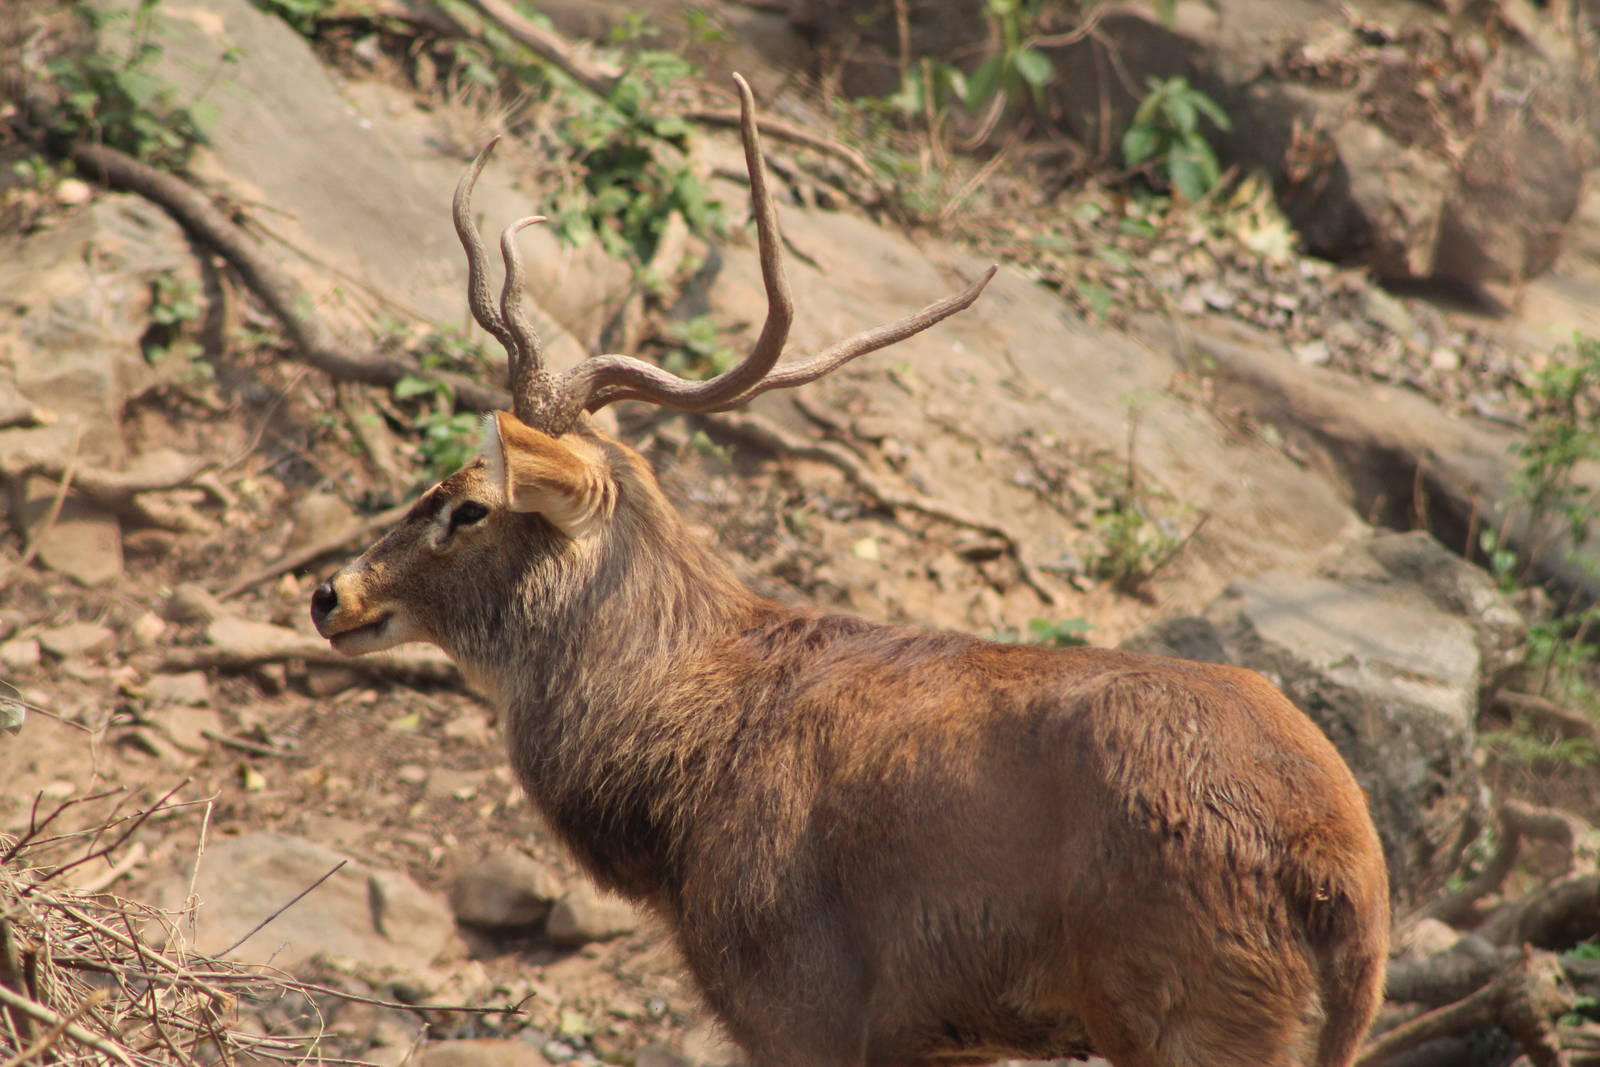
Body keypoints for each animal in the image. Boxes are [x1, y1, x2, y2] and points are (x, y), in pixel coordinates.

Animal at [310, 75, 1390, 1067]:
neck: (671, 800)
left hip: (1184, 1010)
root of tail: (1340, 876)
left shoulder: (799, 995)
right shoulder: (940, 1037)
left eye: (470, 501)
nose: (330, 592)